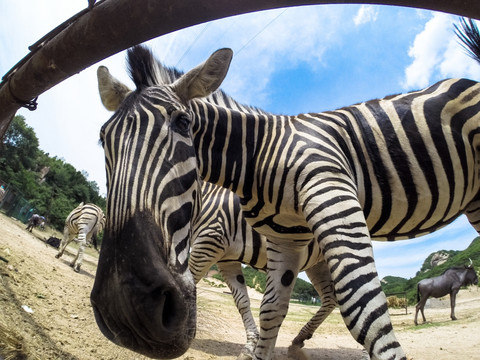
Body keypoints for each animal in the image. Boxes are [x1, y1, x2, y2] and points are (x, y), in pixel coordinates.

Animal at [190, 183, 334, 360]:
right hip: (319, 263)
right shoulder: (227, 260)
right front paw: (250, 346)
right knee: (330, 298)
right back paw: (298, 340)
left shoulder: (208, 241)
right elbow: (242, 301)